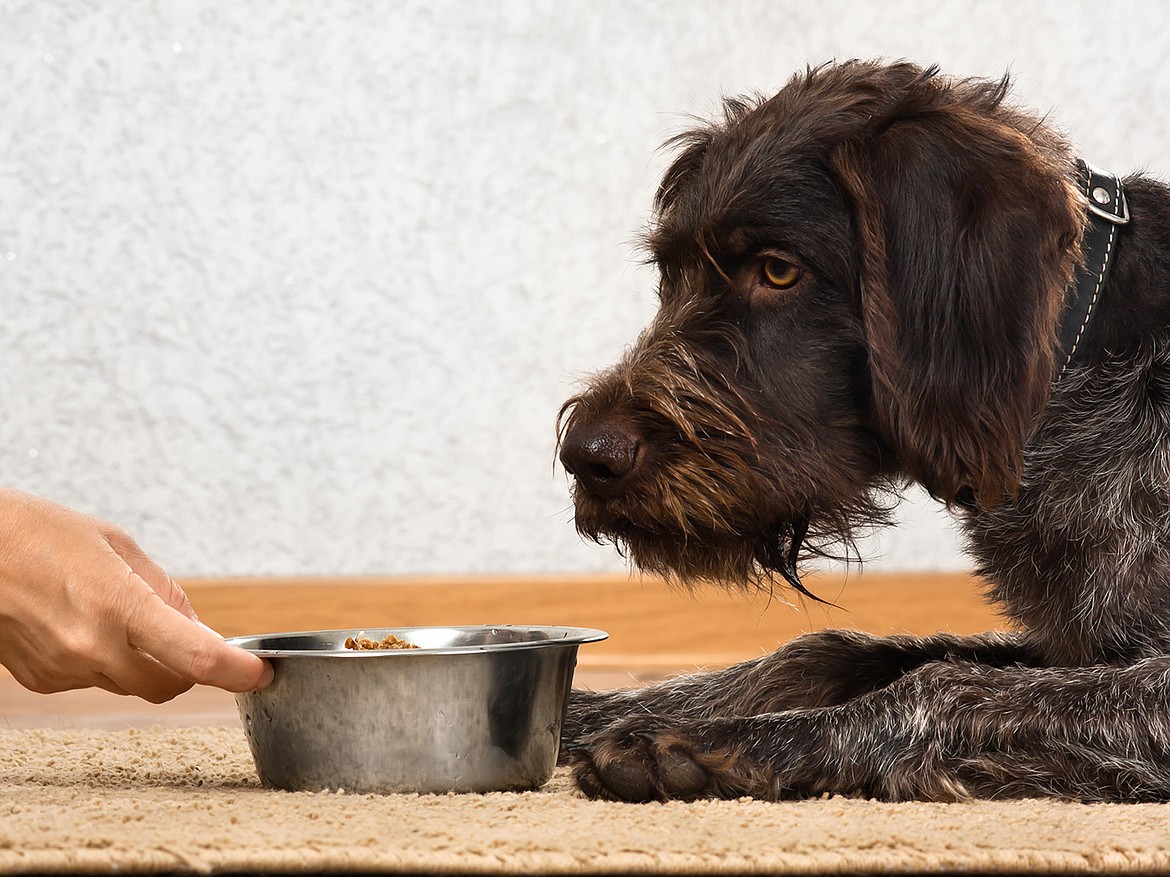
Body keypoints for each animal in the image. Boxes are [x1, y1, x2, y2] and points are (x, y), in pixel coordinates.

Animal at [552, 58, 1170, 809]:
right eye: (671, 274)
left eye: (779, 270)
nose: (585, 456)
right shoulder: (1073, 647)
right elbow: (829, 651)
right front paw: (579, 709)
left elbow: (941, 685)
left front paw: (727, 741)